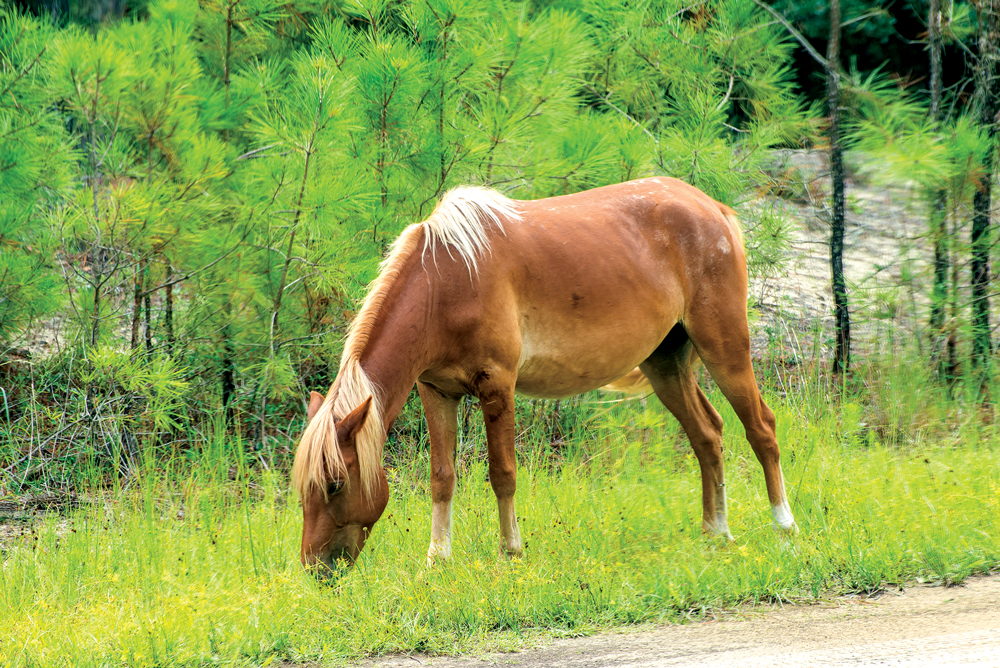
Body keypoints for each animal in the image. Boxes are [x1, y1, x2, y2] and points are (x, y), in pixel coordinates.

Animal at [290, 176, 796, 568]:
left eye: (334, 484)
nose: (316, 568)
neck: (446, 280)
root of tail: (712, 208)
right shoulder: (436, 391)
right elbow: (442, 476)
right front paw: (438, 558)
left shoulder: (497, 387)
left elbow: (502, 473)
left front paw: (510, 551)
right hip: (666, 365)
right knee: (707, 435)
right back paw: (717, 532)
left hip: (724, 348)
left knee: (762, 428)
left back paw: (784, 526)